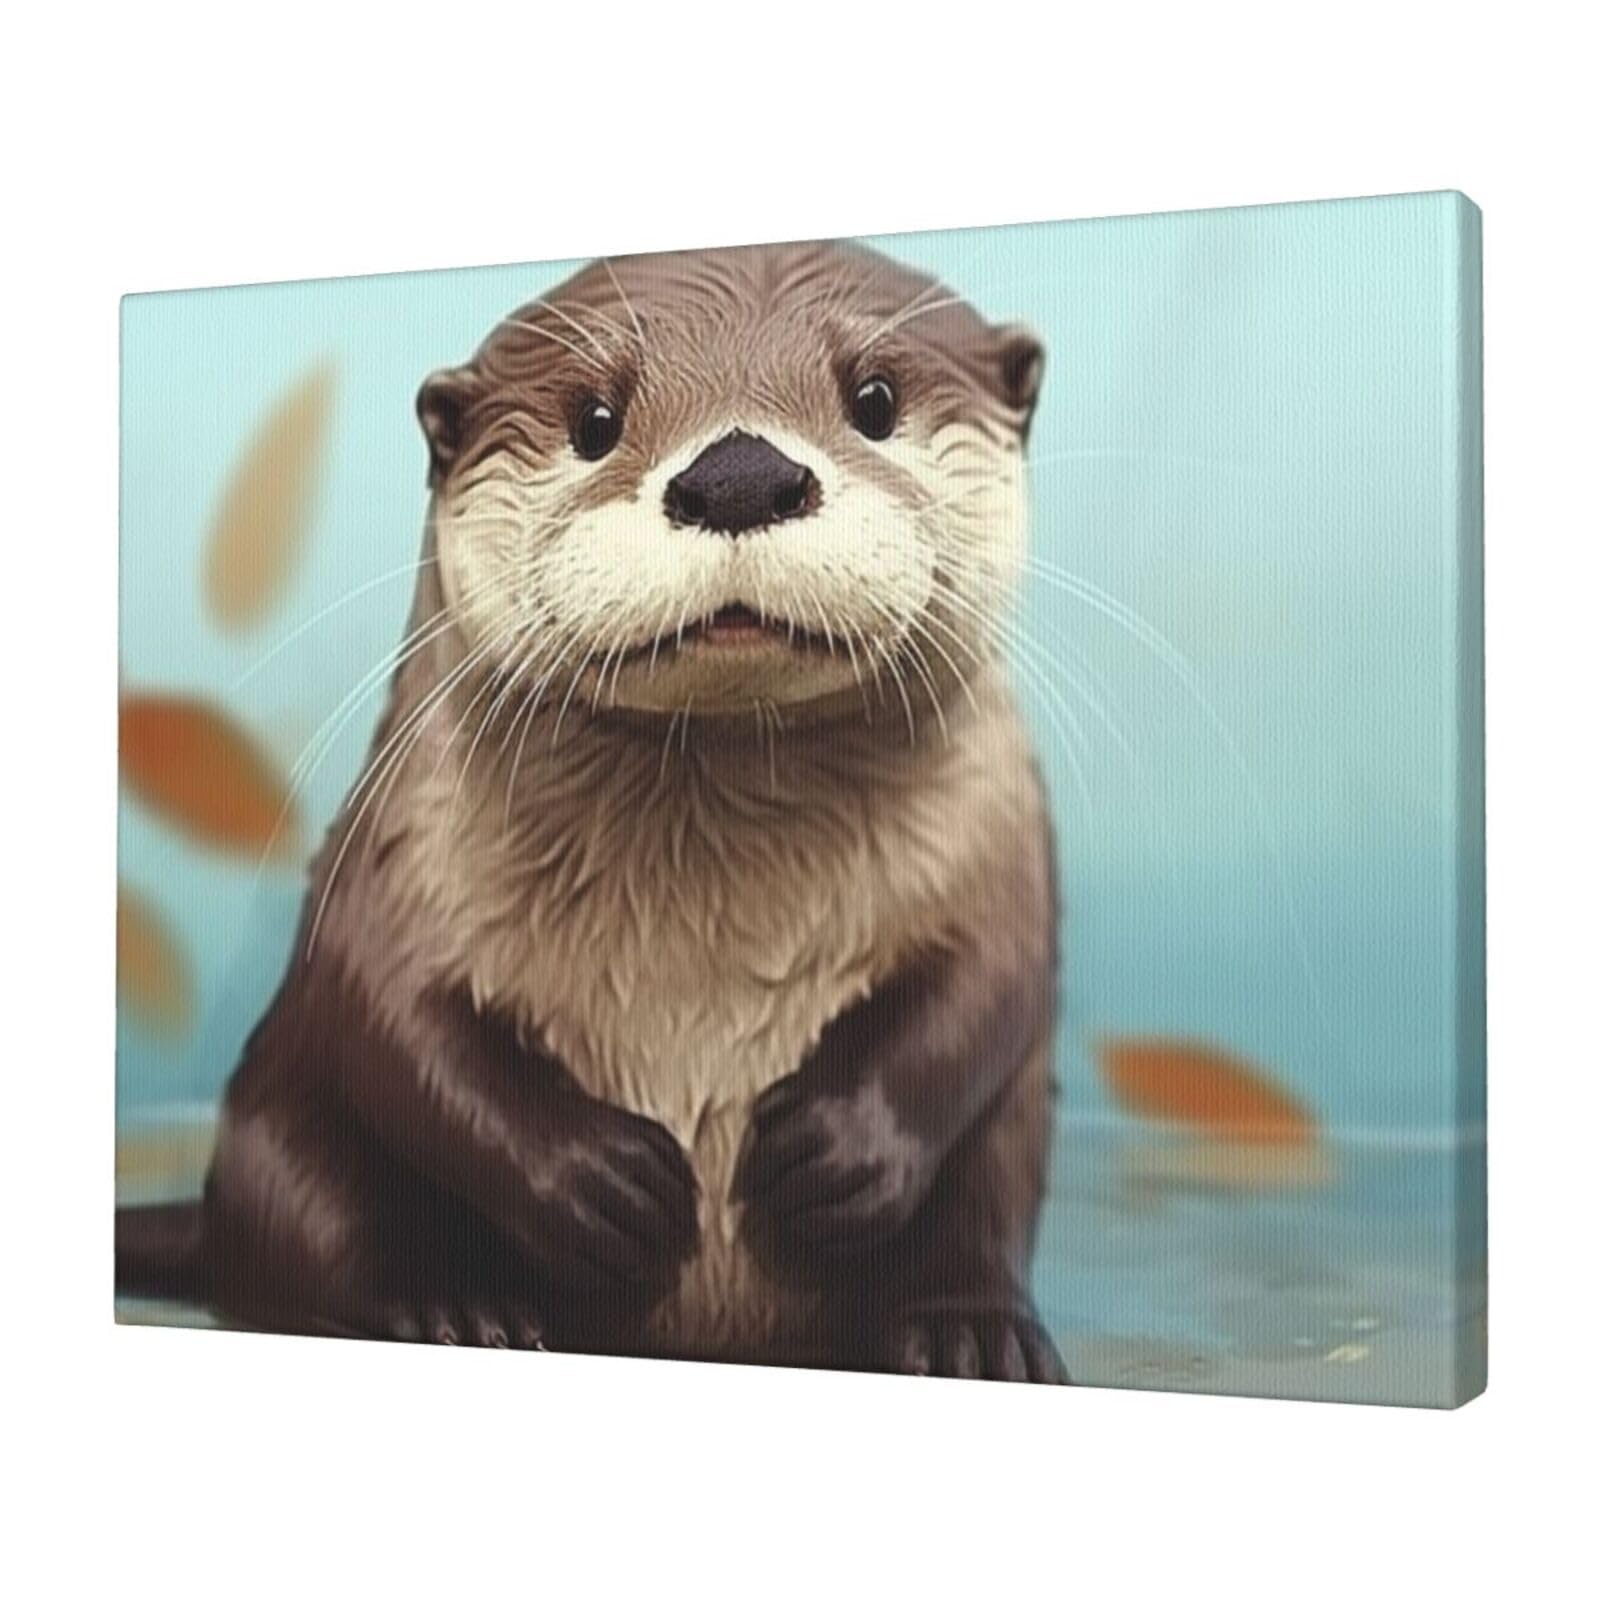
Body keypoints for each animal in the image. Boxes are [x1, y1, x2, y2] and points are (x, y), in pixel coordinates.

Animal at [118, 241, 1066, 1382]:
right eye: (595, 419)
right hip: (285, 1135)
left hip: (1010, 1136)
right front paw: (599, 1181)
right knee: (325, 1237)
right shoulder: (399, 843)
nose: (737, 475)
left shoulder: (1001, 833)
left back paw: (970, 1326)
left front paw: (834, 1147)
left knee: (979, 1200)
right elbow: (387, 1006)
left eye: (875, 399)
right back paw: (457, 1303)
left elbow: (990, 984)